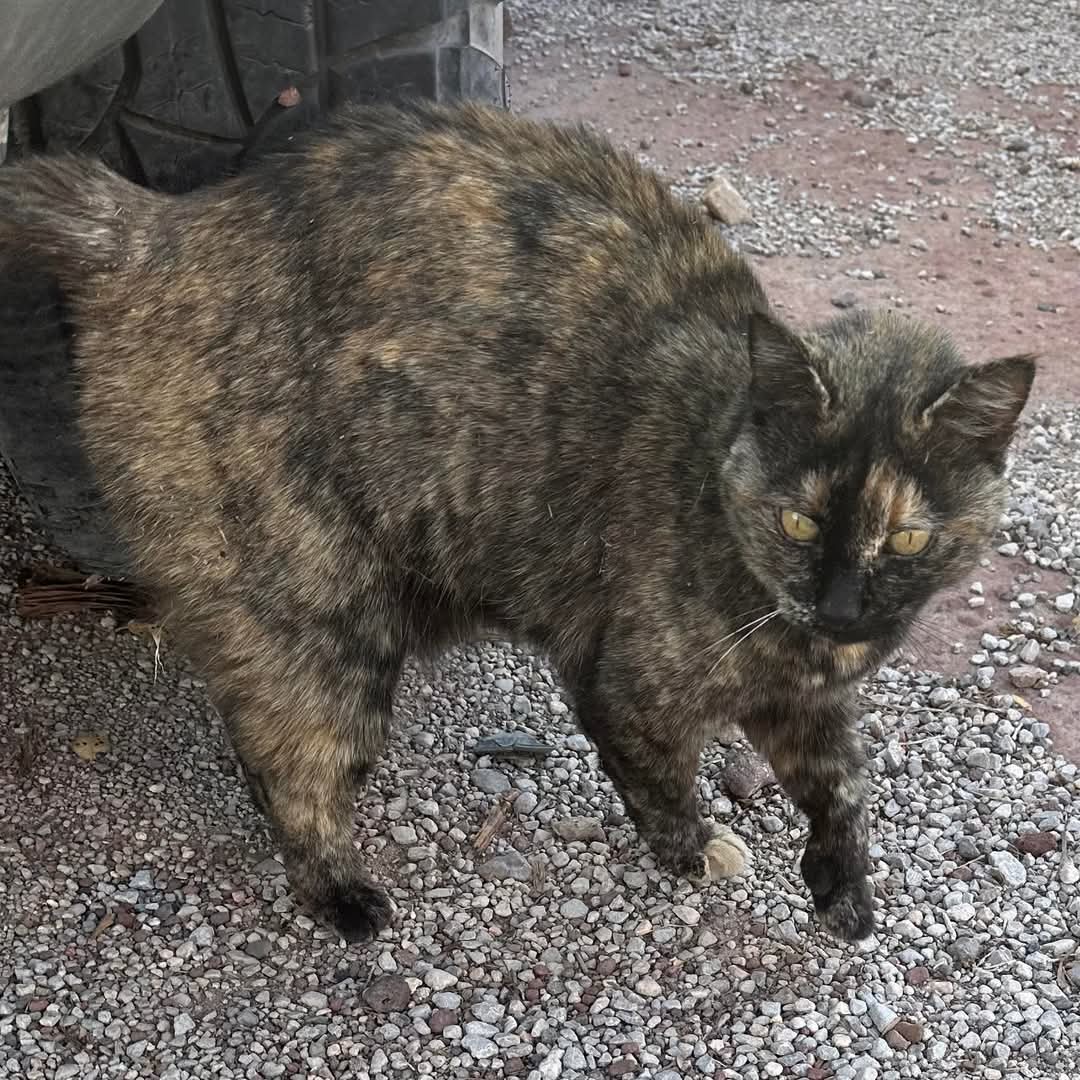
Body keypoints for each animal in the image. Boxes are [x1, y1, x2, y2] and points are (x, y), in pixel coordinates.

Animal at [0, 100, 1034, 944]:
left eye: (908, 537)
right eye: (799, 522)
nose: (843, 605)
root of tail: (157, 227)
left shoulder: (805, 701)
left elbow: (845, 785)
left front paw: (842, 883)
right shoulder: (626, 684)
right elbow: (662, 777)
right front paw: (693, 849)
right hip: (320, 614)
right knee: (295, 763)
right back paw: (341, 895)